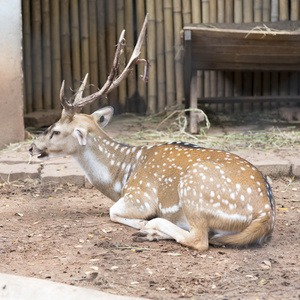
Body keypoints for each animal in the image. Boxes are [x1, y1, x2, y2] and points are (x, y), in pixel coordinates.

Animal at [28, 15, 274, 251]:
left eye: (55, 131)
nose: (31, 147)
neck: (120, 179)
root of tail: (266, 215)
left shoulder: (139, 197)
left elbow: (113, 211)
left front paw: (143, 223)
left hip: (195, 187)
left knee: (199, 239)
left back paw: (151, 228)